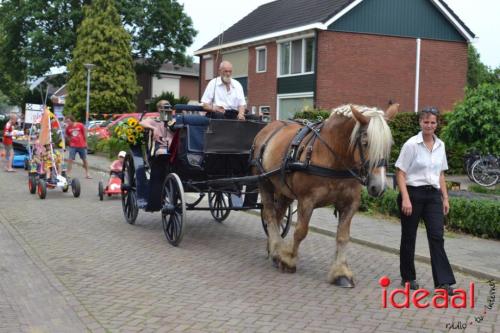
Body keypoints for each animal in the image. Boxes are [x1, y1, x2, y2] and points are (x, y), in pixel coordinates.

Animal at [250, 103, 398, 286]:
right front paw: (289, 260)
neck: (334, 157)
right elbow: (301, 231)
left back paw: (275, 250)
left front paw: (341, 272)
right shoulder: (307, 200)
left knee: (278, 216)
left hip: (284, 190)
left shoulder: (350, 203)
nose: (379, 186)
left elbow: (343, 236)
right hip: (264, 183)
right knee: (270, 215)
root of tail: (269, 126)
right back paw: (277, 250)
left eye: (389, 144)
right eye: (365, 142)